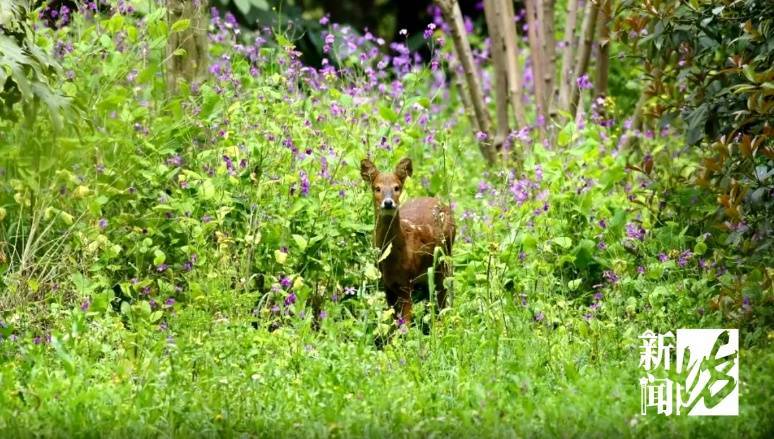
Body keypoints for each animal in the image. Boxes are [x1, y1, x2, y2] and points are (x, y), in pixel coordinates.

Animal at [362, 158, 454, 326]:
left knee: (443, 294)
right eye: (377, 188)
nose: (388, 202)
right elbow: (392, 320)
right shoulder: (386, 284)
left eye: (396, 187)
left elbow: (406, 323)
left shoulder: (406, 282)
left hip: (444, 259)